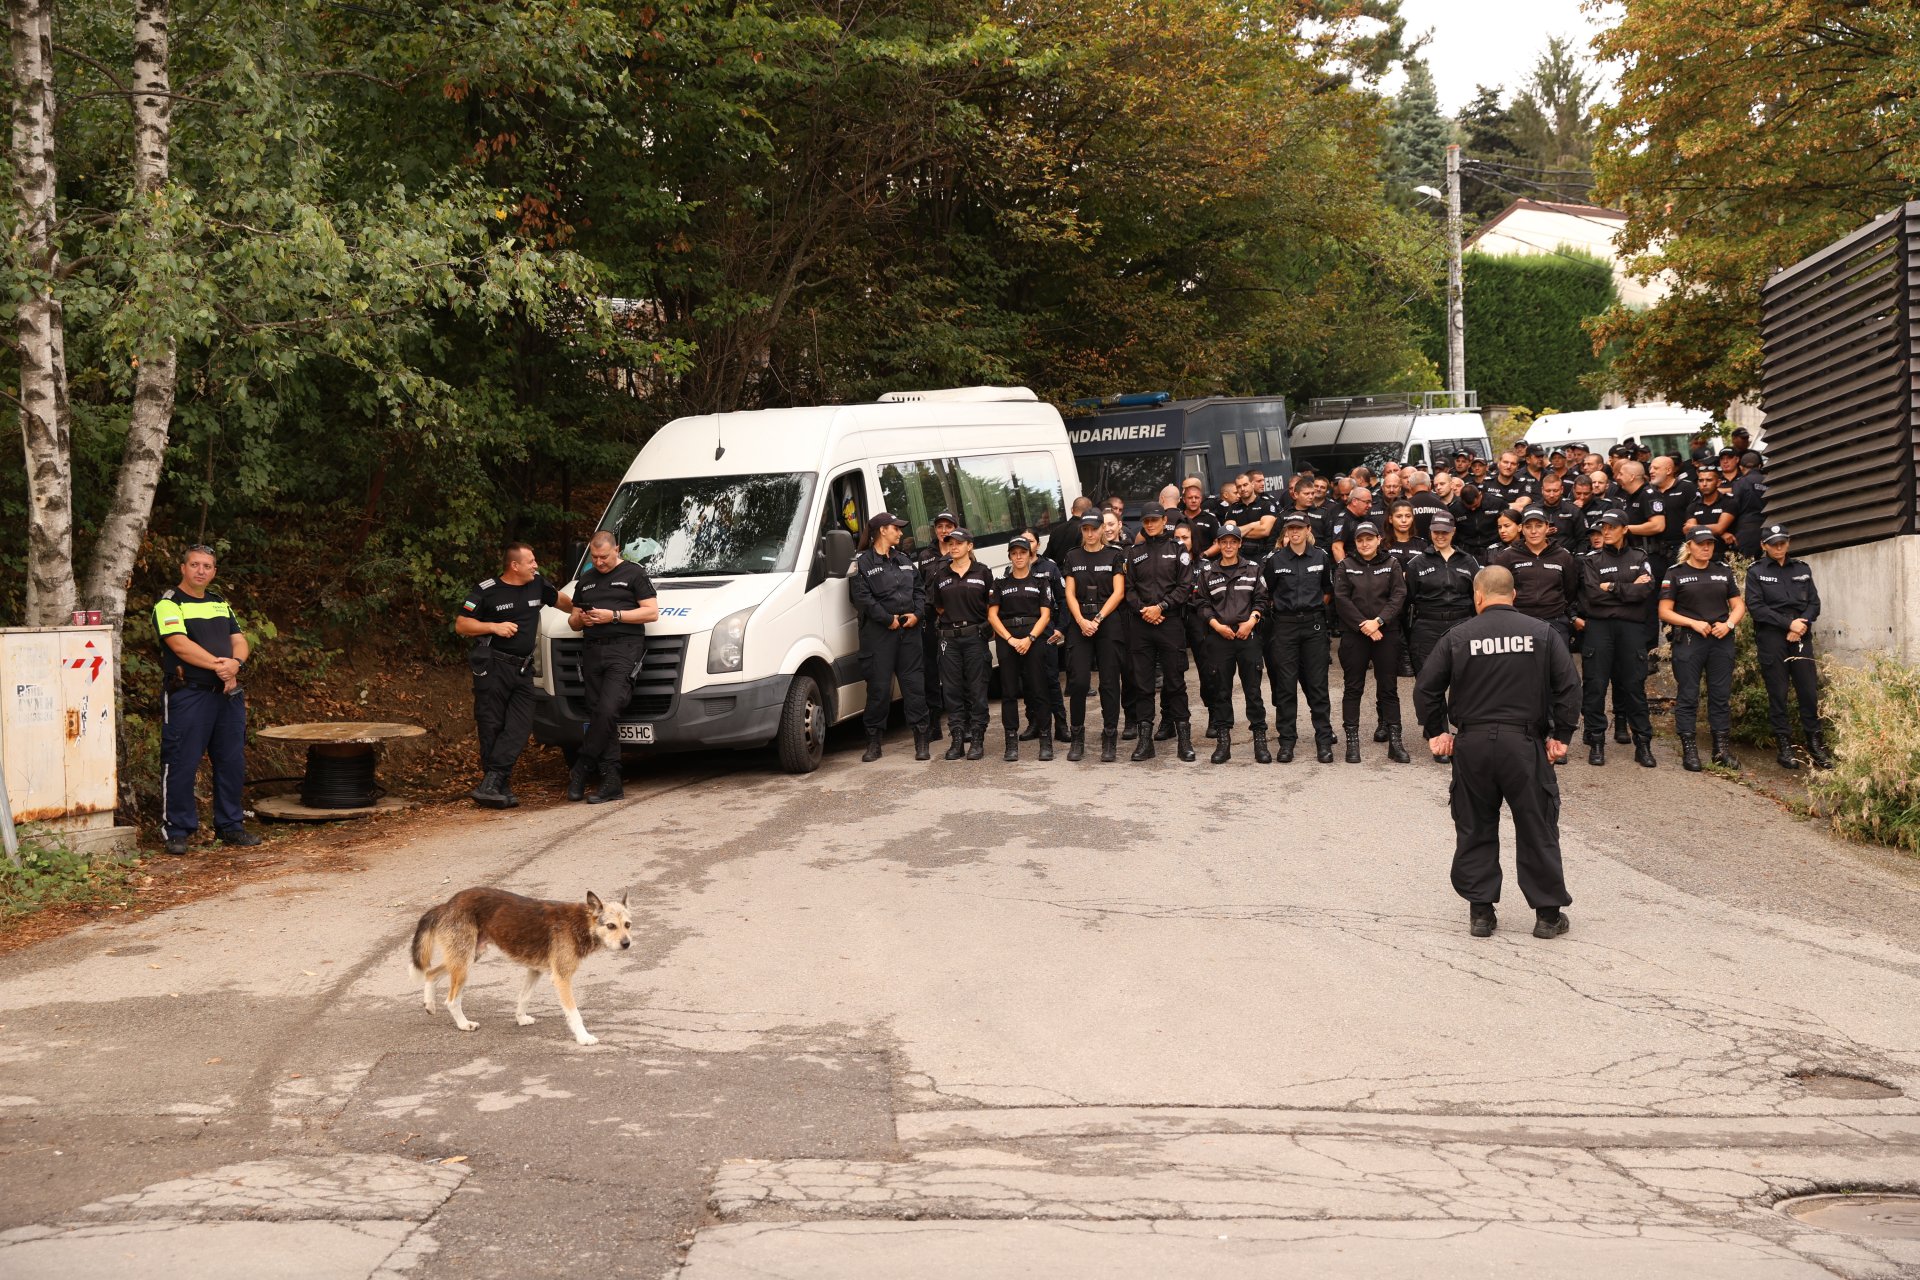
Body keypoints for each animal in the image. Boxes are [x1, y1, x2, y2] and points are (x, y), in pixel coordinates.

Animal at [410, 886, 633, 1043]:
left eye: (627, 925)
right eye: (610, 926)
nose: (627, 944)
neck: (582, 923)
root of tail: (447, 904)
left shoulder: (534, 970)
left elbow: (524, 997)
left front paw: (520, 1018)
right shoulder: (561, 978)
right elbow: (574, 1013)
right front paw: (584, 1038)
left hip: (467, 957)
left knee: (431, 973)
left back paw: (429, 1004)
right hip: (464, 964)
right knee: (451, 1000)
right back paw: (464, 1024)